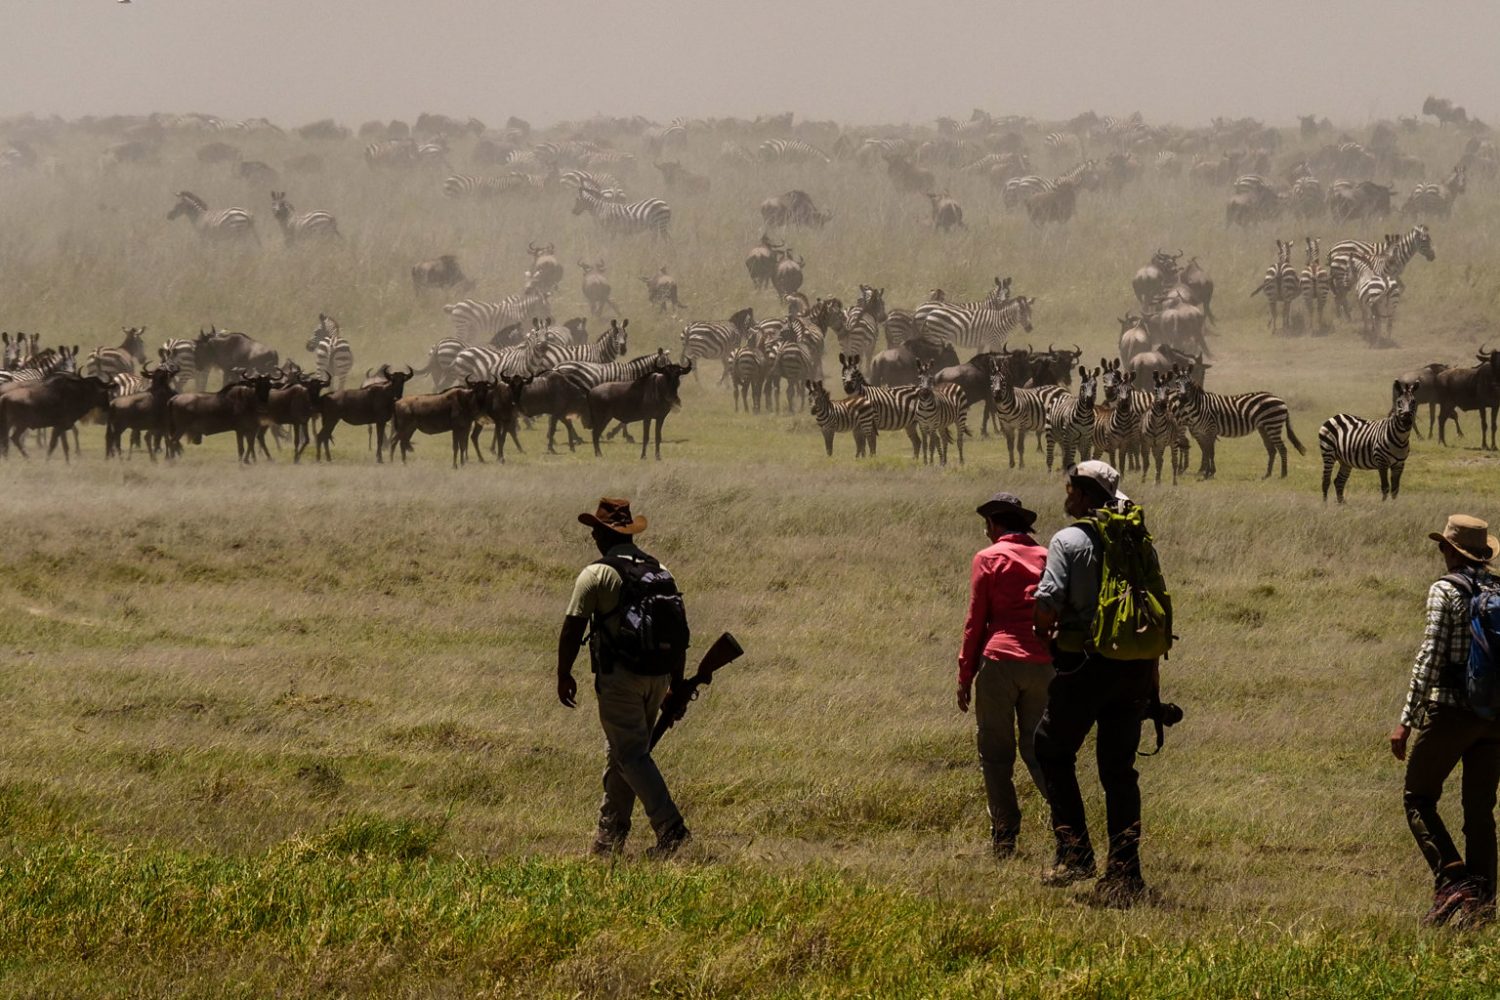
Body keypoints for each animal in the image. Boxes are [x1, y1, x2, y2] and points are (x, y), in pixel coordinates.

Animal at [1158, 371, 1302, 479]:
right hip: (1264, 428)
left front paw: (1208, 473)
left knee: (1282, 448)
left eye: (1188, 384)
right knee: (1272, 450)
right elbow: (1207, 451)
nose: (1182, 397)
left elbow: (1210, 452)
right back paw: (1267, 475)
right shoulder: (1203, 432)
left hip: (1273, 425)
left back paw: (1283, 474)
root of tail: (1280, 400)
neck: (1200, 406)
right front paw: (1208, 472)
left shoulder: (1210, 430)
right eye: (1177, 383)